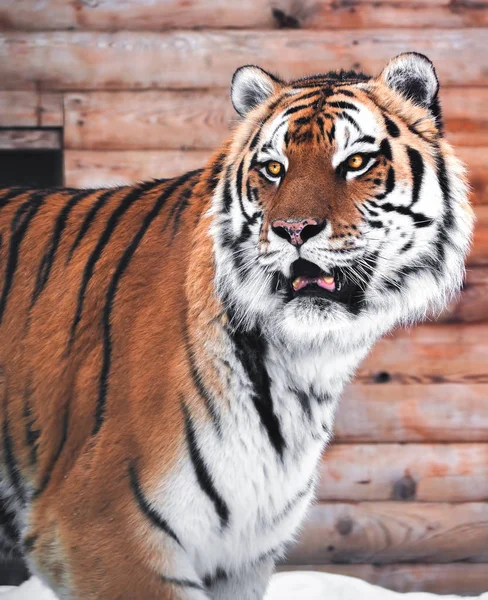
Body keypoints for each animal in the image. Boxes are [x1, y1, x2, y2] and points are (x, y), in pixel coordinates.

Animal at [0, 52, 472, 600]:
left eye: (355, 162)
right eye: (274, 168)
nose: (293, 230)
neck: (302, 367)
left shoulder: (240, 553)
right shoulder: (102, 527)